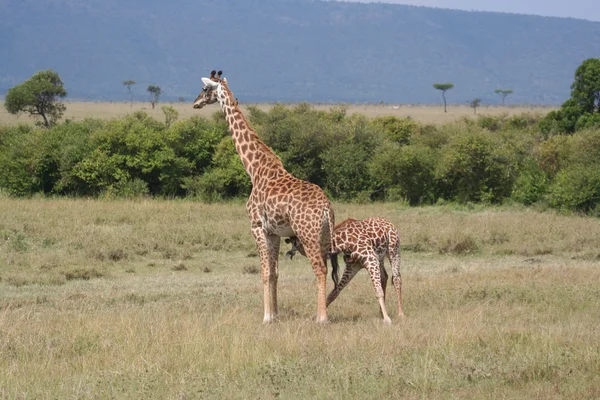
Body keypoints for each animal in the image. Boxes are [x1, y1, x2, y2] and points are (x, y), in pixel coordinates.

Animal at [192, 71, 336, 322]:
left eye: (205, 89)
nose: (195, 103)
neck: (255, 169)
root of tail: (326, 208)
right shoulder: (274, 232)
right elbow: (275, 273)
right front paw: (276, 315)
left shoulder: (257, 226)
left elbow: (265, 272)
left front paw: (267, 317)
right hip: (325, 236)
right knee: (326, 267)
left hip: (308, 234)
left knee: (320, 269)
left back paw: (321, 319)